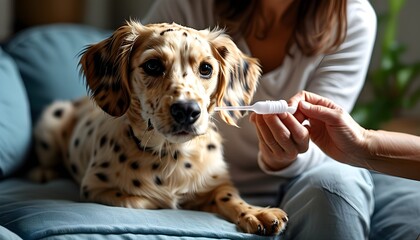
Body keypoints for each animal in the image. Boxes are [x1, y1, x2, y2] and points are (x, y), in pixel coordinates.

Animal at [32, 21, 288, 236]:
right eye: (153, 65)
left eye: (206, 68)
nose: (187, 110)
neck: (172, 155)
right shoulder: (94, 187)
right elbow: (139, 200)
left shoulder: (218, 183)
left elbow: (229, 196)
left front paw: (256, 212)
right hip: (53, 116)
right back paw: (43, 172)